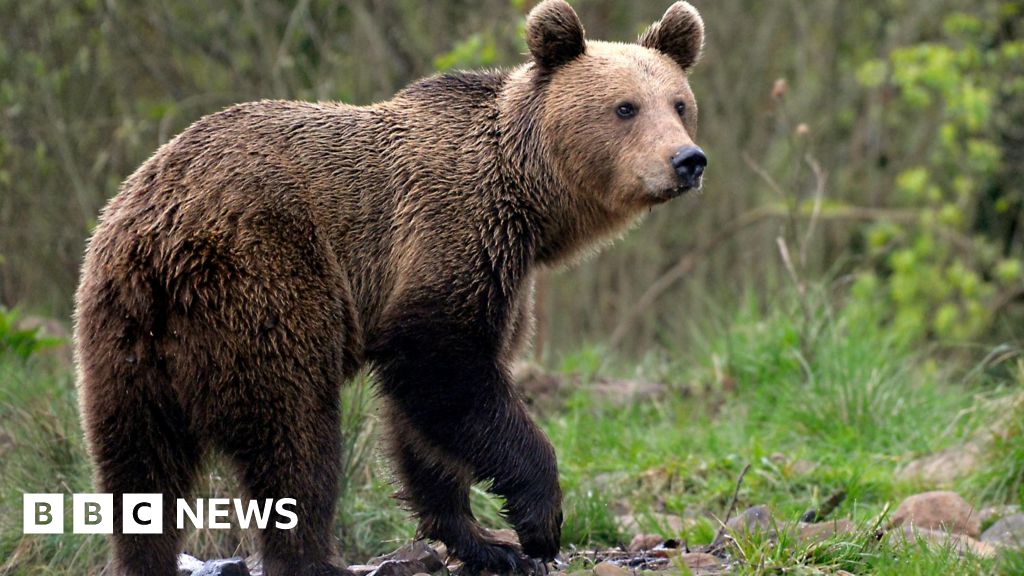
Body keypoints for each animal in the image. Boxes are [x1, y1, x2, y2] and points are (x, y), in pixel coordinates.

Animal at [72, 1, 707, 575]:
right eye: (625, 107)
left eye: (680, 104)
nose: (687, 160)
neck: (528, 200)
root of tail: (157, 238)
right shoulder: (450, 236)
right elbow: (444, 368)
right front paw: (537, 523)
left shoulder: (504, 274)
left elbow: (425, 423)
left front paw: (484, 542)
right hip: (263, 282)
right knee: (294, 432)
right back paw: (314, 559)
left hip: (121, 339)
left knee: (139, 464)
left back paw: (145, 558)